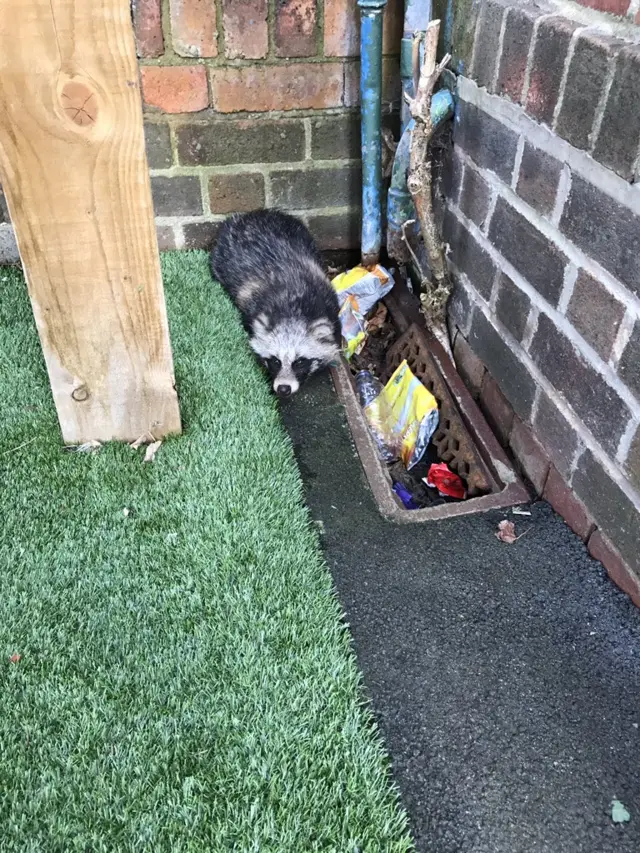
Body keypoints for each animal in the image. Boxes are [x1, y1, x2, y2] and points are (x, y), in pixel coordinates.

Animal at [209, 206, 340, 396]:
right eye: (275, 361)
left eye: (299, 362)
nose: (283, 389)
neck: (294, 309)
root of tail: (255, 213)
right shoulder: (253, 307)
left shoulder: (329, 302)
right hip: (221, 255)